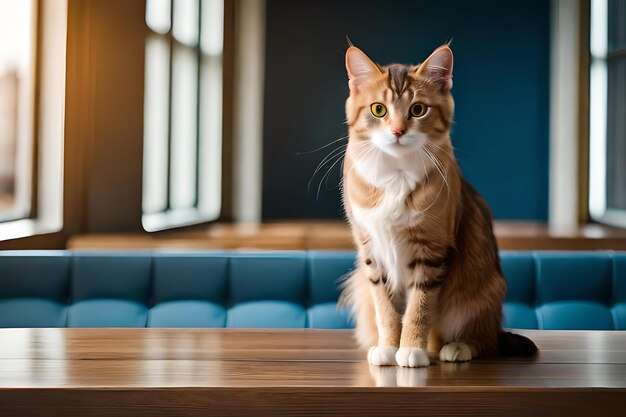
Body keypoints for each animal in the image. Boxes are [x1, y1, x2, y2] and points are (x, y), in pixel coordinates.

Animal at [338, 44, 532, 366]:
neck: (396, 173)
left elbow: (418, 309)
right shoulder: (372, 253)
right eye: (379, 110)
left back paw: (457, 348)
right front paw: (389, 347)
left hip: (480, 295)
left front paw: (411, 349)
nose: (398, 131)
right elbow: (387, 310)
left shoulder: (431, 252)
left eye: (418, 109)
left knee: (484, 340)